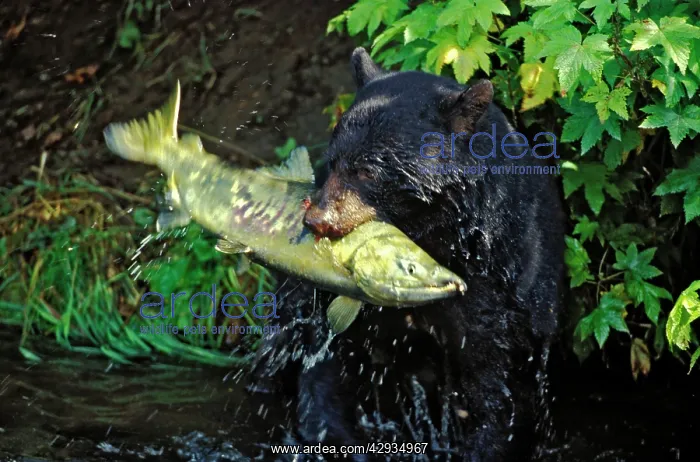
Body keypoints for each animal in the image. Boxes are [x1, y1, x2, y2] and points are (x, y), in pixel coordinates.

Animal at [248, 47, 566, 462]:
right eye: (332, 162)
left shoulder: (506, 288)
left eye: (368, 171)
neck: (434, 241)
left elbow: (500, 389)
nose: (316, 219)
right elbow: (328, 361)